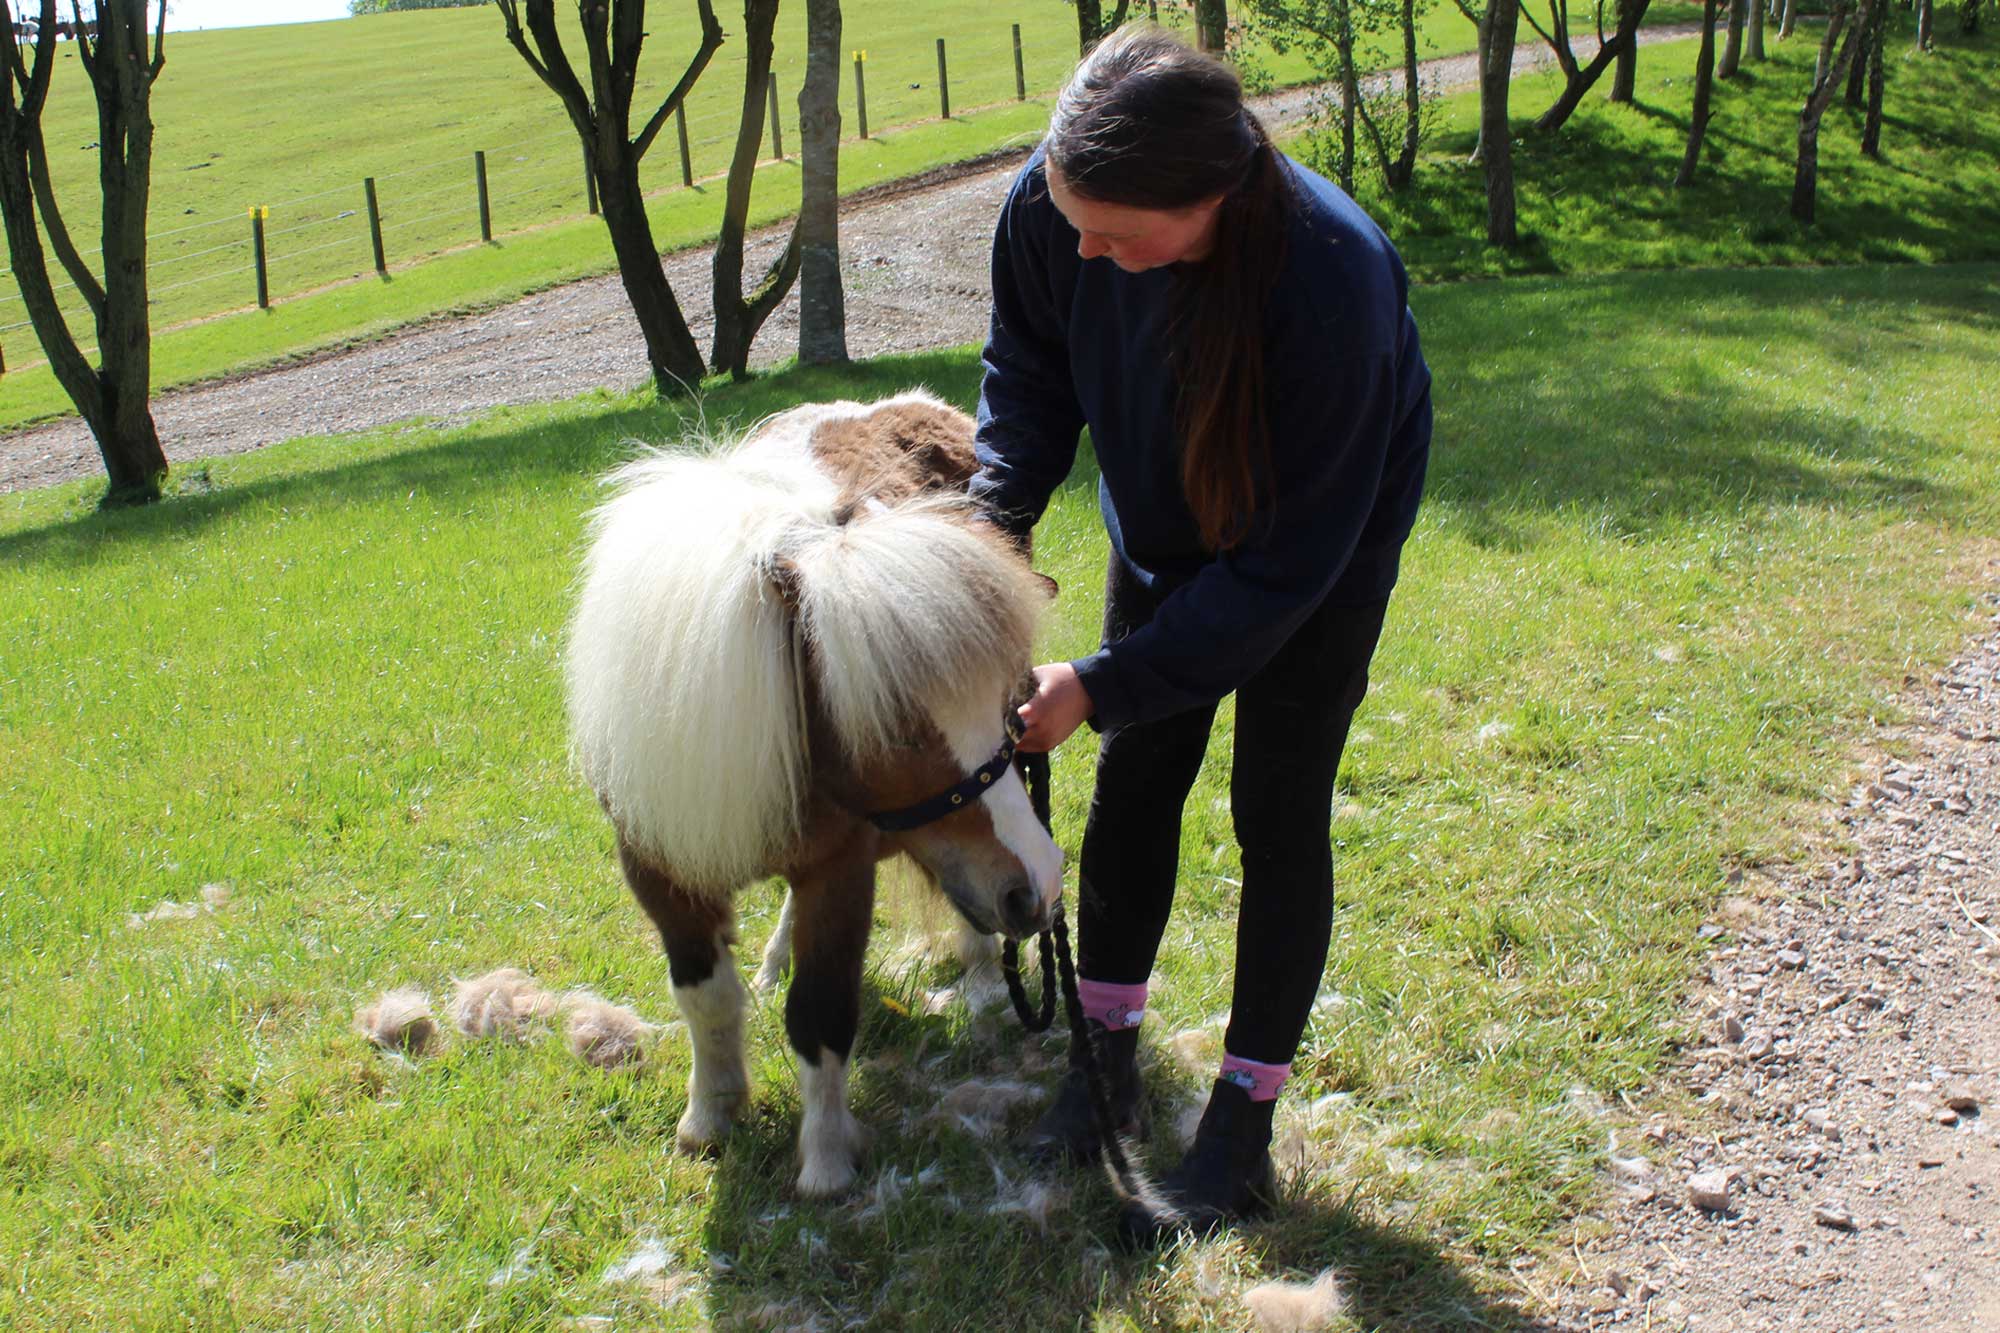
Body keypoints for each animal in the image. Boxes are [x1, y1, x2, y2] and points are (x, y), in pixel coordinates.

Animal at [564, 390, 1064, 1184]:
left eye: (1010, 702)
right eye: (895, 725)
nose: (1041, 888)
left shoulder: (840, 872)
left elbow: (821, 1010)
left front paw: (826, 1158)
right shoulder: (660, 870)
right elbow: (705, 996)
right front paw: (711, 1113)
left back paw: (986, 972)